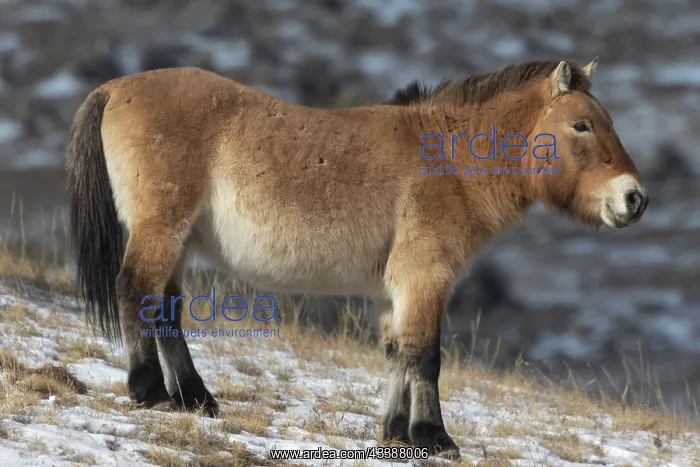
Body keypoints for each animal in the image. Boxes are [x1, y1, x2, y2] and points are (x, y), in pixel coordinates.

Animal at [65, 57, 648, 458]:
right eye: (582, 125)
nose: (634, 199)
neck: (449, 159)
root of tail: (116, 88)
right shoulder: (425, 277)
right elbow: (426, 356)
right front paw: (435, 438)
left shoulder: (397, 289)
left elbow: (397, 354)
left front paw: (396, 433)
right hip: (162, 228)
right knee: (136, 289)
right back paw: (149, 389)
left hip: (178, 240)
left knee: (164, 309)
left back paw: (195, 398)